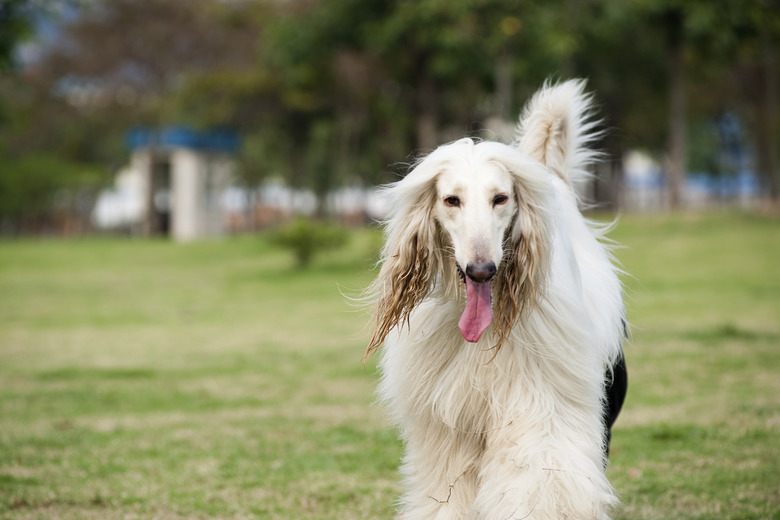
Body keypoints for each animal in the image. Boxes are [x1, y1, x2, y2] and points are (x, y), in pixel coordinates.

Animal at [366, 79, 628, 516]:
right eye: (451, 200)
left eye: (500, 198)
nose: (481, 270)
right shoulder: (450, 425)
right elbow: (448, 491)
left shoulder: (540, 404)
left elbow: (538, 478)